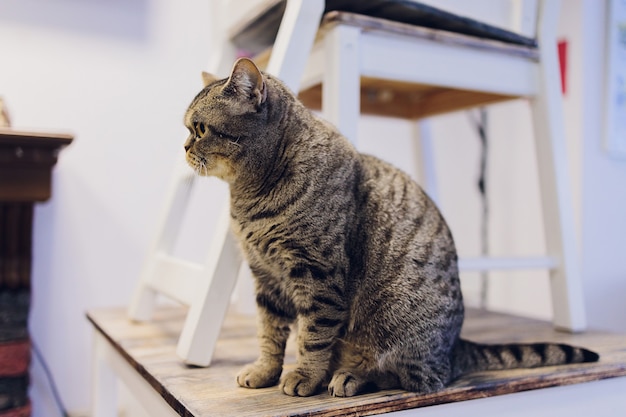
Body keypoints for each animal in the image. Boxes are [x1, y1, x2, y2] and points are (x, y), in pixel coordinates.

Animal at [182, 57, 596, 396]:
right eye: (187, 129)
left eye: (199, 129)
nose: (183, 147)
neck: (251, 195)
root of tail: (455, 346)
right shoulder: (264, 274)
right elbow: (269, 333)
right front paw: (265, 371)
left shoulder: (317, 273)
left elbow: (314, 336)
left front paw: (304, 376)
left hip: (396, 324)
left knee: (416, 377)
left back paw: (351, 376)